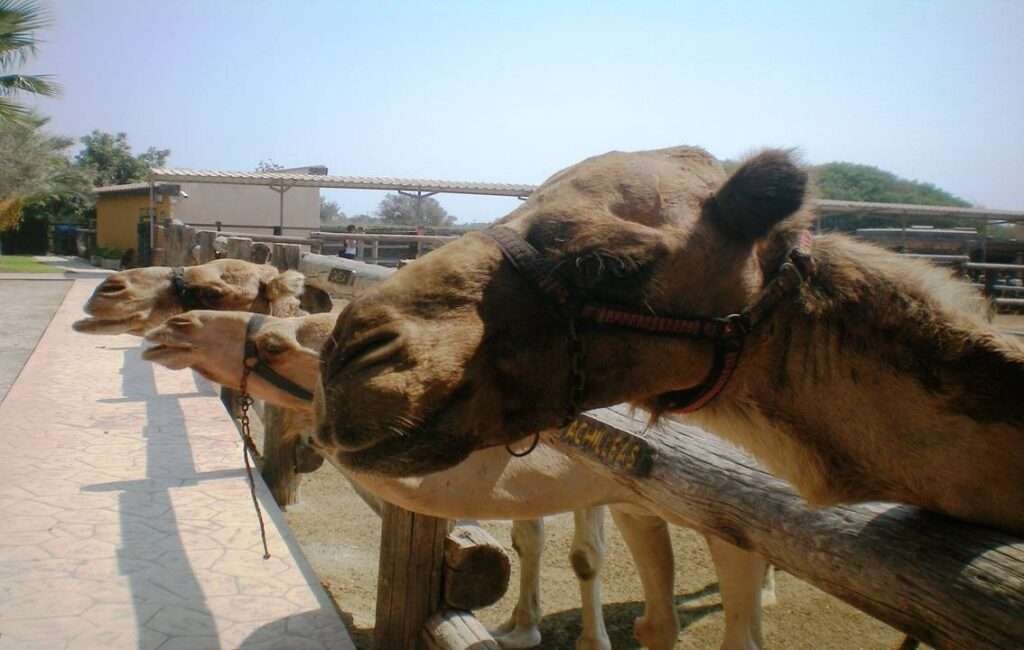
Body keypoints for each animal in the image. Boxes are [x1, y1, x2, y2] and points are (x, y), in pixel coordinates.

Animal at [142, 309, 776, 650]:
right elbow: (546, 547)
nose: (175, 325)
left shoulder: (696, 506)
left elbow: (589, 559)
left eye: (274, 344)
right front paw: (523, 627)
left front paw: (586, 640)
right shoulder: (627, 497)